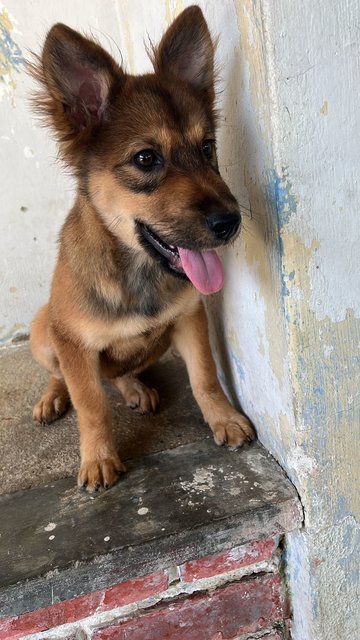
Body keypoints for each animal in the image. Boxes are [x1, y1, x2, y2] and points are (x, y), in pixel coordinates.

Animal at [31, 5, 256, 490]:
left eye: (207, 147)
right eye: (146, 159)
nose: (230, 223)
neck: (138, 271)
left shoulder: (189, 317)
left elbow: (204, 376)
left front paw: (223, 418)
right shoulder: (73, 342)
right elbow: (91, 404)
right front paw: (97, 457)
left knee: (120, 374)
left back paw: (135, 389)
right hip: (45, 328)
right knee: (64, 376)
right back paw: (53, 397)